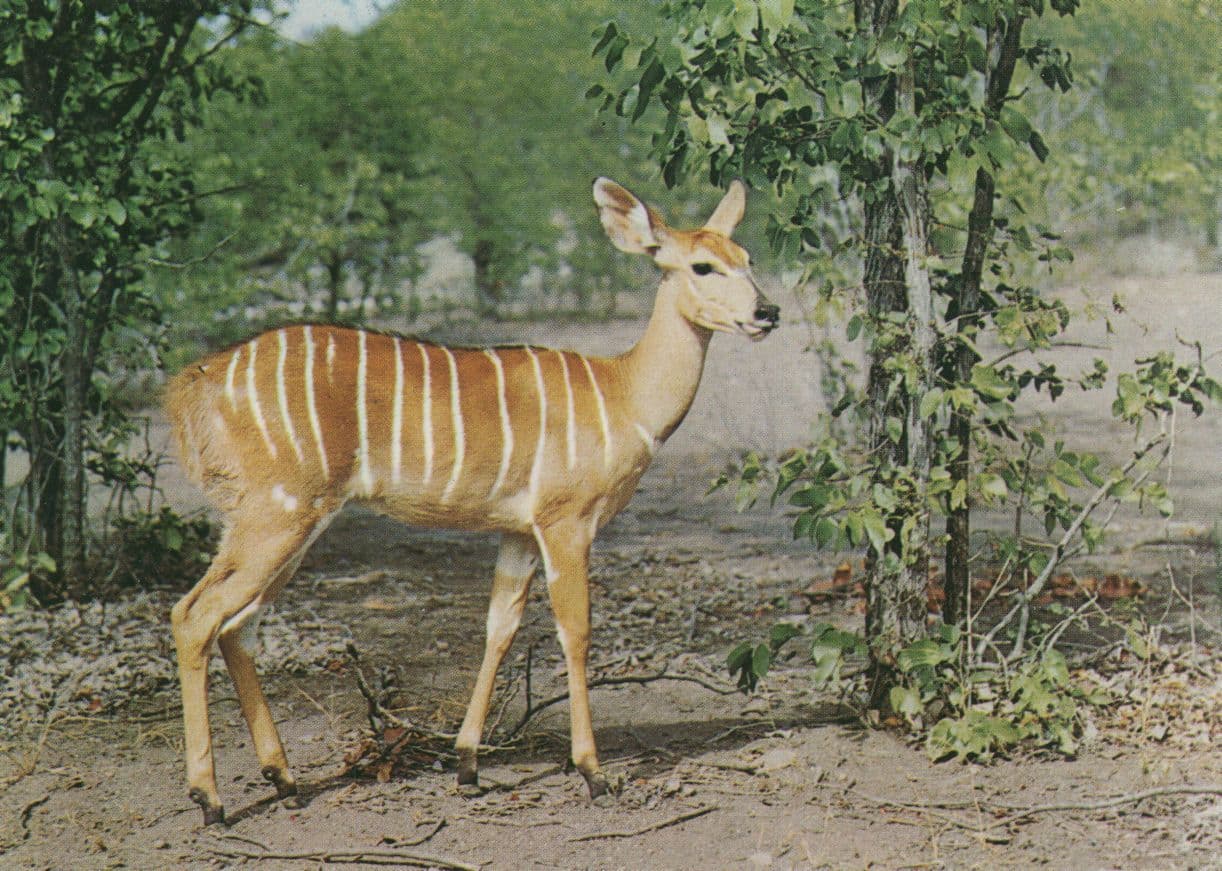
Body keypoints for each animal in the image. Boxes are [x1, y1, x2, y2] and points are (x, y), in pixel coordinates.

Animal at [164, 178, 779, 825]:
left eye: (748, 258)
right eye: (702, 265)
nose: (768, 312)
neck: (624, 397)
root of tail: (191, 386)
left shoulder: (518, 531)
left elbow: (498, 627)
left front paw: (466, 765)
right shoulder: (566, 521)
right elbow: (576, 631)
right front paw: (593, 772)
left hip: (284, 523)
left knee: (236, 626)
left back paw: (283, 778)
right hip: (277, 514)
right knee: (195, 615)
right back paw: (209, 798)